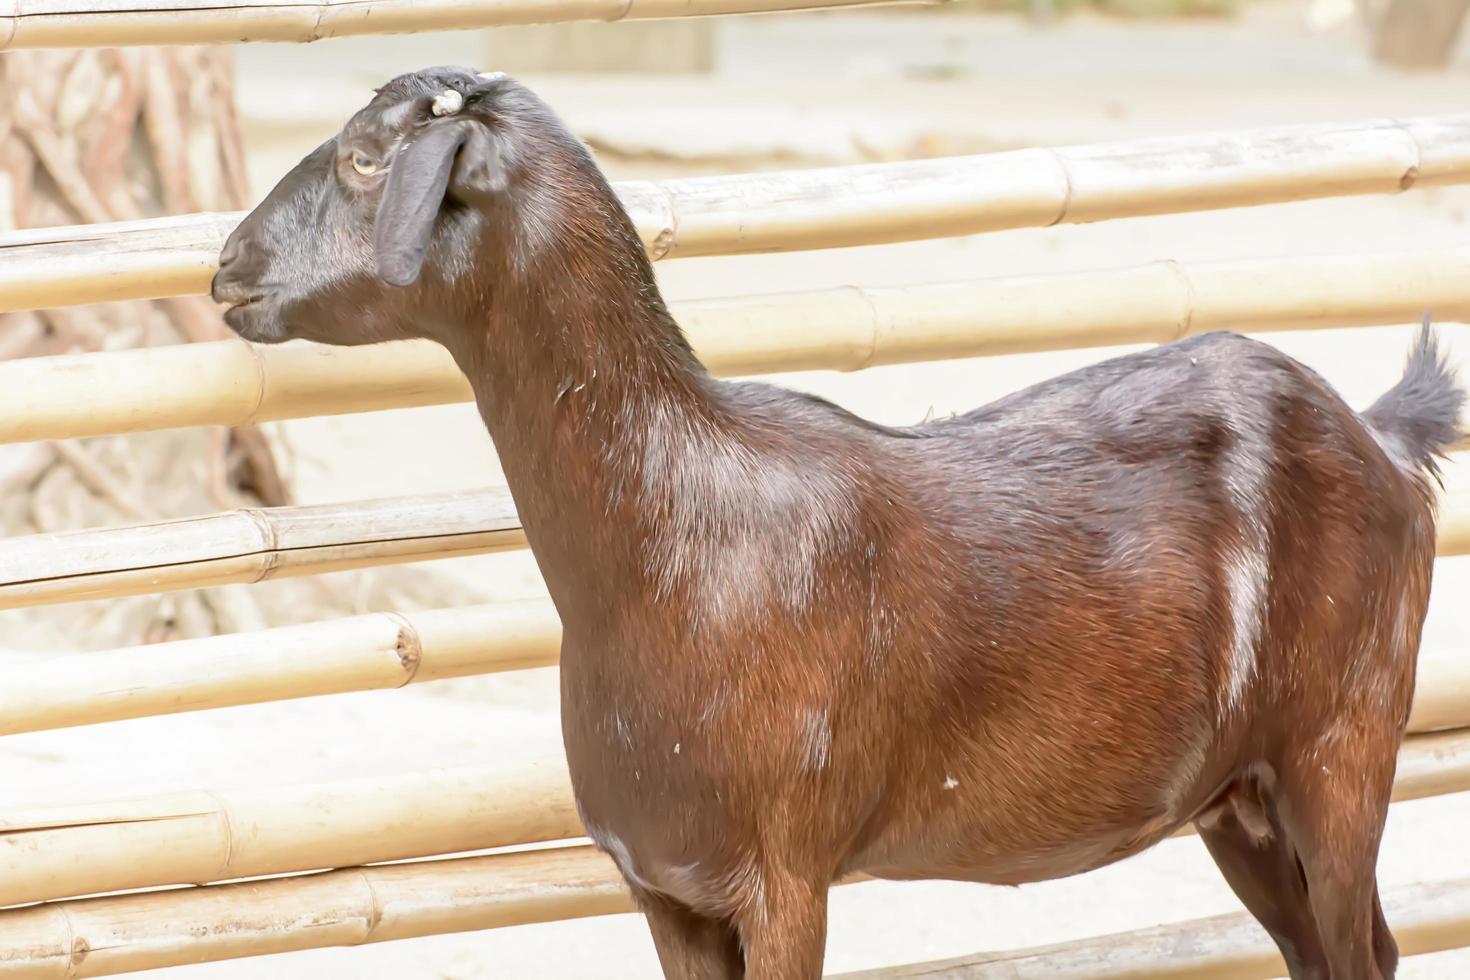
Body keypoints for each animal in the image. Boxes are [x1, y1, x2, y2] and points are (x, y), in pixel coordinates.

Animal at [213, 65, 1464, 975]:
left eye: (366, 156)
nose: (227, 267)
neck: (669, 542)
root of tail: (1384, 436)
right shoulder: (664, 884)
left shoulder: (785, 873)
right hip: (1236, 798)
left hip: (1342, 747)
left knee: (1363, 943)